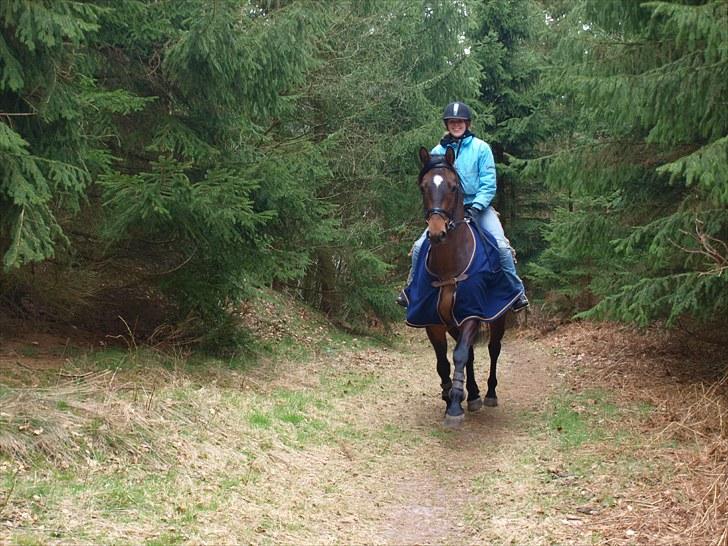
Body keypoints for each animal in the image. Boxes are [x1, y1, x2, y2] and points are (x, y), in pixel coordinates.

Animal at [408, 146, 511, 427]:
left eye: (453, 186)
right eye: (423, 186)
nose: (437, 232)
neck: (449, 265)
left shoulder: (472, 314)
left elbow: (461, 355)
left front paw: (455, 405)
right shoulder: (432, 320)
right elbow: (443, 360)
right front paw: (449, 397)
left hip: (498, 317)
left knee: (493, 349)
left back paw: (489, 393)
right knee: (472, 354)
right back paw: (473, 395)